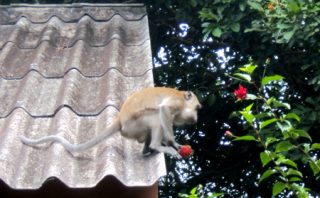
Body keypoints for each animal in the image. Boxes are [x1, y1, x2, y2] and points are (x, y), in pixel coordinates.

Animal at [19, 86, 200, 158]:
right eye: (197, 108)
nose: (196, 118)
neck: (181, 97)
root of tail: (119, 119)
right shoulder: (176, 103)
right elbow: (164, 110)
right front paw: (173, 143)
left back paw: (147, 149)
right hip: (133, 125)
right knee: (155, 117)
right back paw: (156, 146)